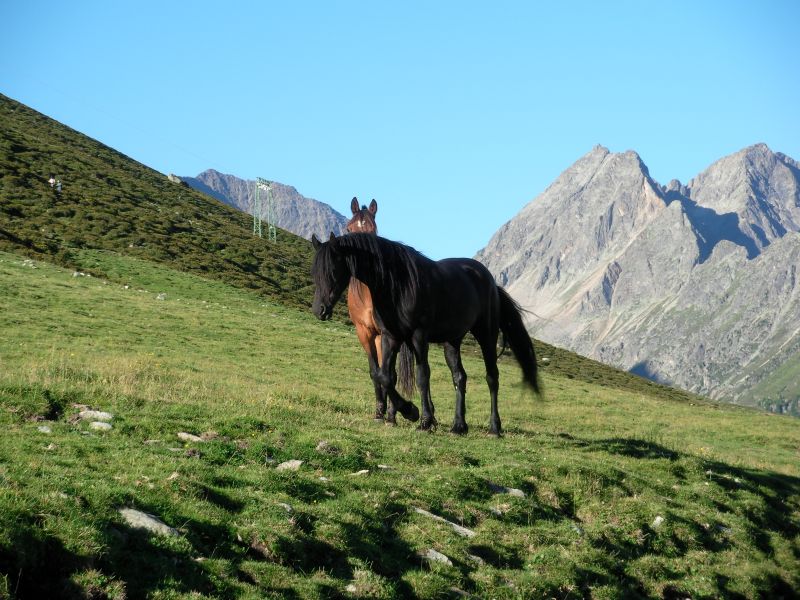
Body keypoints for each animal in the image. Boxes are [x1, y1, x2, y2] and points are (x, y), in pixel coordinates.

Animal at [310, 232, 540, 434]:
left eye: (332, 269)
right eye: (315, 272)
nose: (319, 310)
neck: (397, 286)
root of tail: (490, 280)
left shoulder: (418, 337)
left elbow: (422, 377)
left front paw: (424, 421)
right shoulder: (390, 337)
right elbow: (384, 375)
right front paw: (409, 411)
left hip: (486, 335)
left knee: (492, 377)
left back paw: (494, 428)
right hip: (452, 341)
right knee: (459, 377)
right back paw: (458, 427)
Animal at [346, 199, 418, 424]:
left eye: (373, 230)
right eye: (349, 229)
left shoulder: (389, 335)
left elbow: (390, 374)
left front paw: (393, 415)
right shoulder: (364, 332)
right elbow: (375, 371)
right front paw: (379, 412)